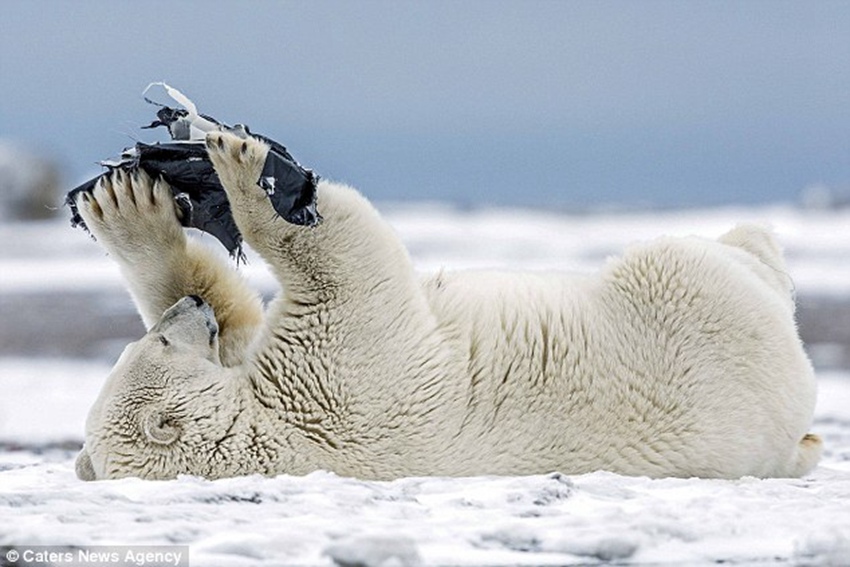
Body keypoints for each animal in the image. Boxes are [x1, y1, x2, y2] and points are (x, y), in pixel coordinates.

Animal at [71, 131, 816, 482]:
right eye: (159, 344)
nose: (190, 309)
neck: (264, 429)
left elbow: (243, 321)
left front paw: (132, 209)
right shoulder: (340, 386)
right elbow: (348, 266)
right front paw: (252, 171)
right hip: (688, 306)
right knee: (691, 261)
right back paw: (756, 242)